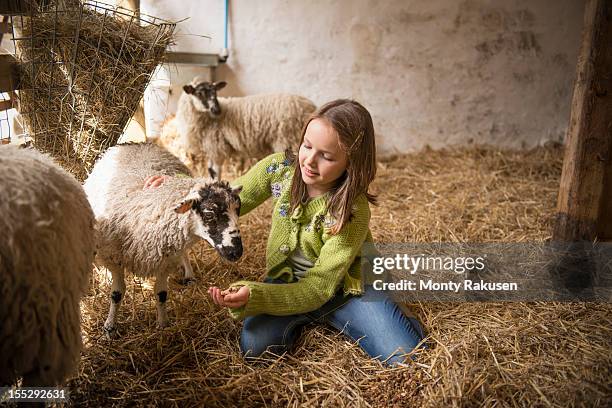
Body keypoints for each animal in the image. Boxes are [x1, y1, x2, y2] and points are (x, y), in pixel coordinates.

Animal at [83, 142, 241, 336]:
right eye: (209, 214)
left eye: (238, 210)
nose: (237, 252)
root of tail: (134, 143)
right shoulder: (114, 258)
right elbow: (117, 294)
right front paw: (110, 326)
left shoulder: (166, 260)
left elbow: (161, 294)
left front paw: (163, 324)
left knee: (184, 254)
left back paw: (189, 275)